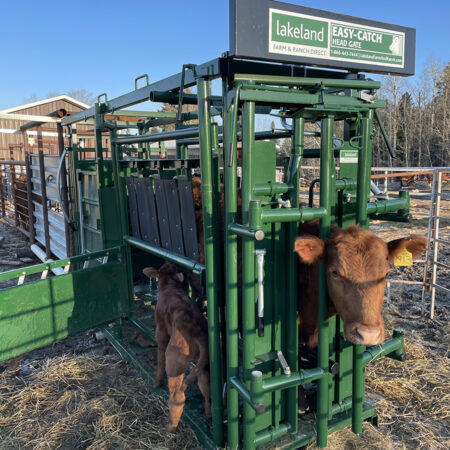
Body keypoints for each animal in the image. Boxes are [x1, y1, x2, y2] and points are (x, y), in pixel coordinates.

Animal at [143, 263, 211, 433]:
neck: (170, 287)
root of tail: (198, 333)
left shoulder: (161, 332)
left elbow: (159, 356)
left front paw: (157, 382)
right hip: (204, 366)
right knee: (207, 390)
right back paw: (209, 414)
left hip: (174, 362)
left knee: (177, 397)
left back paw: (170, 427)